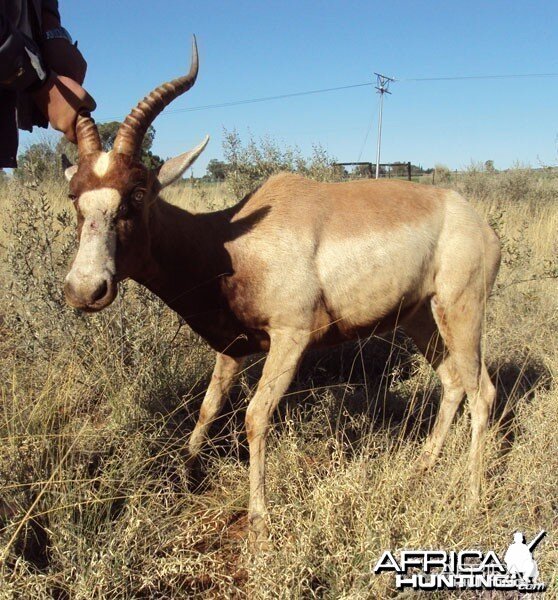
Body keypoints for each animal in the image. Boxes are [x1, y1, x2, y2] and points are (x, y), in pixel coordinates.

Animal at [64, 37, 504, 548]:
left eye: (137, 192)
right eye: (75, 195)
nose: (85, 289)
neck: (229, 239)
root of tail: (473, 218)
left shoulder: (291, 339)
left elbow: (254, 417)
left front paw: (258, 520)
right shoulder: (233, 347)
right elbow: (208, 409)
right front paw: (185, 478)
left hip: (461, 310)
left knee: (482, 391)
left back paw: (472, 500)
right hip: (419, 318)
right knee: (452, 383)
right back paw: (421, 469)